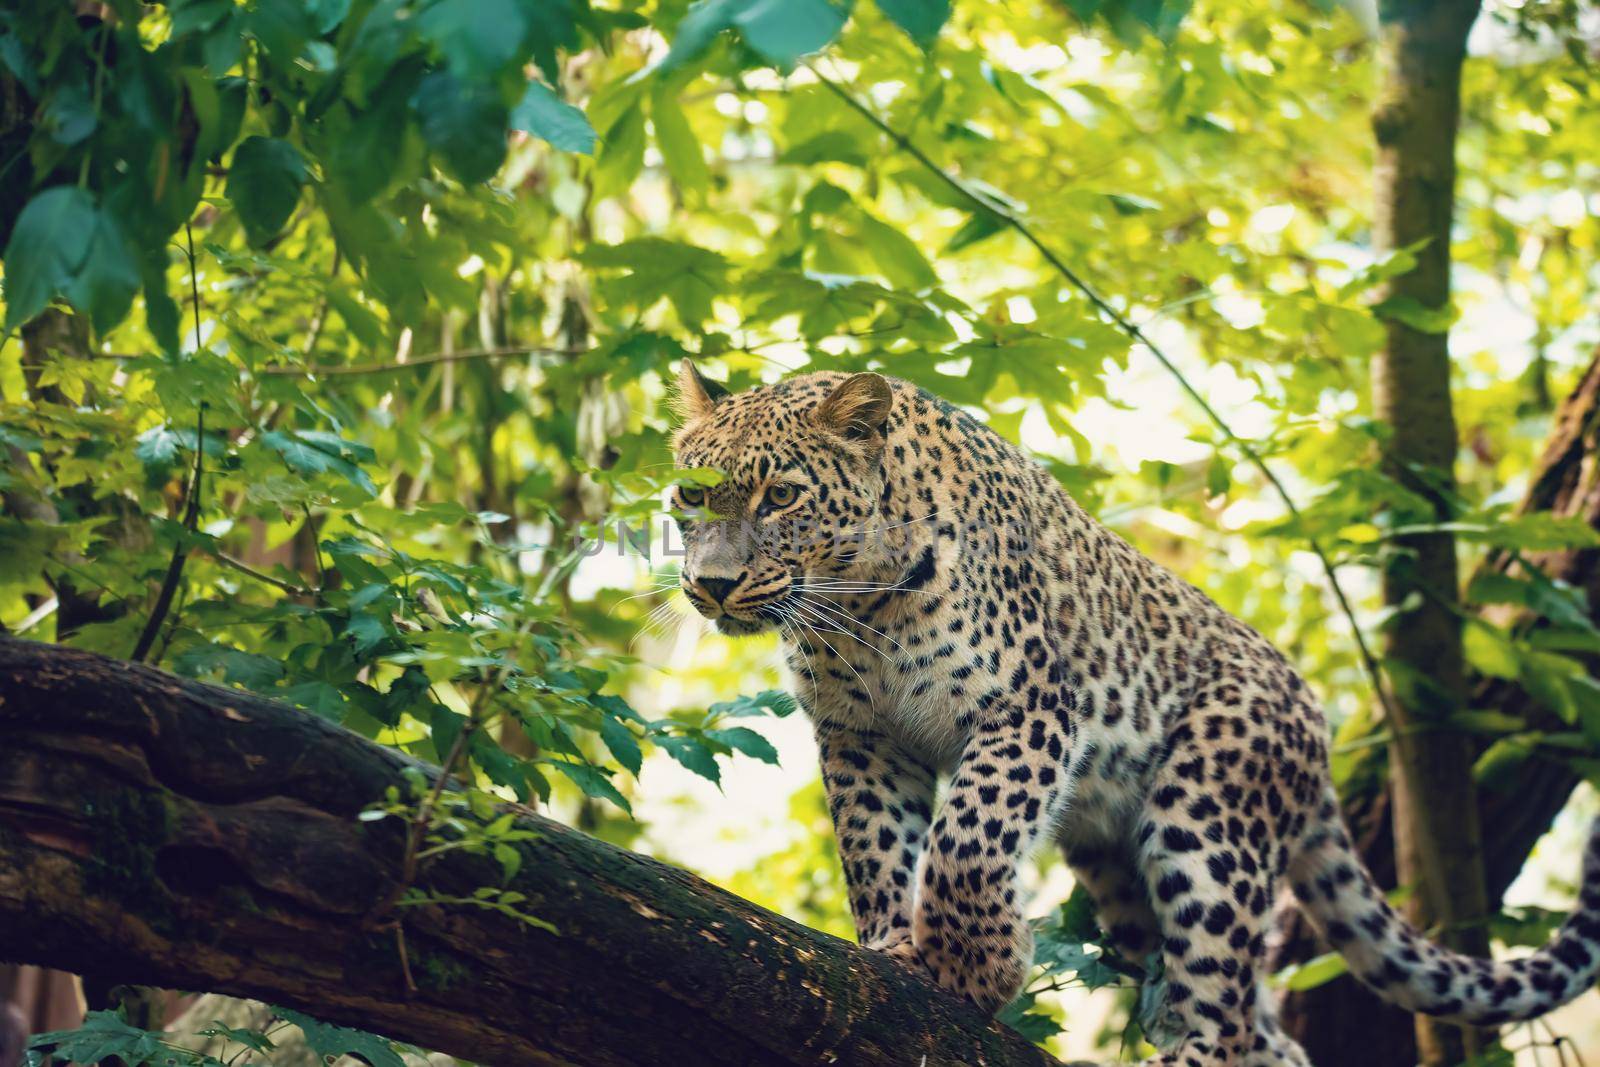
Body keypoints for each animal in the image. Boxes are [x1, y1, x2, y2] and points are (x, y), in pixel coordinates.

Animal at [668, 363, 1600, 1062]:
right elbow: (873, 851)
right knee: (1259, 1030)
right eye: (691, 496)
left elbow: (968, 839)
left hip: (1208, 818)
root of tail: (1313, 724)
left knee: (1226, 1014)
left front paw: (975, 966)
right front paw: (895, 945)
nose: (711, 585)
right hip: (1119, 866)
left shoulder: (1028, 710)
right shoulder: (858, 737)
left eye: (782, 496)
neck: (854, 605)